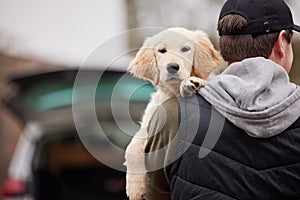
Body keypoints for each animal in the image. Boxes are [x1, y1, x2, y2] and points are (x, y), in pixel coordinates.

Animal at [124, 27, 220, 200]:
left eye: (186, 49)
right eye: (162, 50)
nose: (172, 66)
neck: (173, 93)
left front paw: (191, 83)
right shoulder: (147, 127)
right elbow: (131, 148)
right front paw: (135, 188)